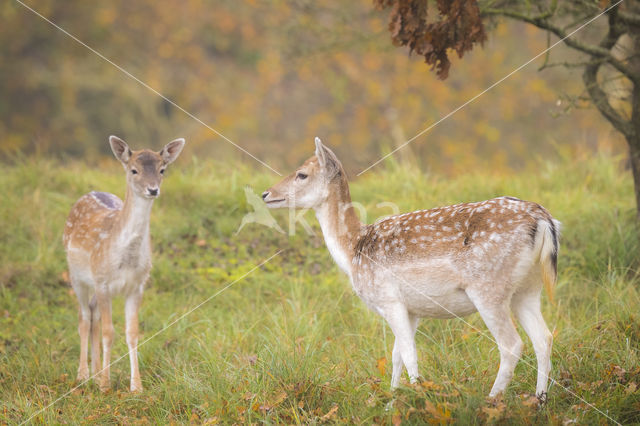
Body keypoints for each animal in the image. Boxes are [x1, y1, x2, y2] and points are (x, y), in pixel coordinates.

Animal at [63, 135, 185, 392]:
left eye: (162, 169)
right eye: (134, 170)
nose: (153, 189)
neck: (125, 259)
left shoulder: (137, 285)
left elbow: (132, 332)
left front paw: (136, 386)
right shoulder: (103, 281)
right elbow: (109, 333)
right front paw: (105, 386)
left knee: (93, 314)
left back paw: (96, 372)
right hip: (76, 275)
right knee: (84, 317)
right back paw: (83, 375)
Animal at [264, 137, 560, 402]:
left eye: (302, 174)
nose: (267, 194)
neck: (353, 252)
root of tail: (544, 220)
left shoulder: (389, 299)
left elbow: (408, 353)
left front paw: (417, 397)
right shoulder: (413, 309)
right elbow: (396, 355)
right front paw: (393, 399)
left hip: (488, 288)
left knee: (512, 344)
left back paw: (492, 400)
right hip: (527, 289)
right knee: (543, 337)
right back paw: (540, 400)